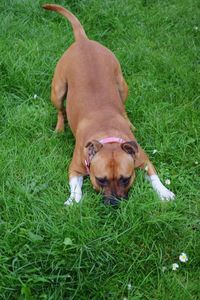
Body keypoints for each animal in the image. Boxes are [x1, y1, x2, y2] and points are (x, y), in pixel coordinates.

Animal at [43, 4, 174, 206]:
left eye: (126, 179)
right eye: (100, 180)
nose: (114, 203)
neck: (107, 134)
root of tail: (83, 41)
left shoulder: (144, 160)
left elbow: (154, 178)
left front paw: (164, 192)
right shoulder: (74, 169)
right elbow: (75, 186)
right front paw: (73, 200)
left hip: (121, 85)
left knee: (124, 106)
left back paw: (130, 123)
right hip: (58, 90)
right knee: (59, 109)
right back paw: (59, 128)